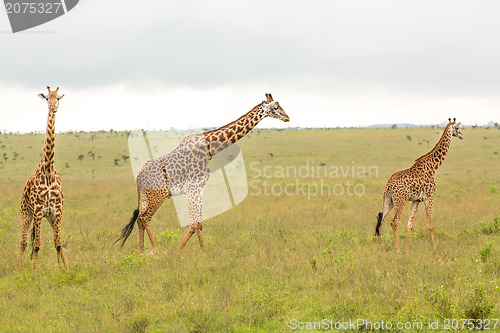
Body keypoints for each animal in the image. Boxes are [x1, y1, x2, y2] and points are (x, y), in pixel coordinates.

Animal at [19, 87, 67, 268]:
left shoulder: (57, 211)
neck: (47, 171)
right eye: (47, 98)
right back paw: (19, 269)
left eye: (58, 98)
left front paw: (62, 269)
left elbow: (58, 243)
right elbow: (37, 245)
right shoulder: (38, 211)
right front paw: (34, 271)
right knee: (24, 242)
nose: (53, 107)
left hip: (50, 218)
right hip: (26, 212)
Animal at [115, 92, 290, 250]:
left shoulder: (199, 188)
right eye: (275, 107)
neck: (209, 148)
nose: (287, 117)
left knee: (140, 218)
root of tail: (139, 177)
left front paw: (202, 251)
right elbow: (194, 223)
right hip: (159, 195)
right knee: (145, 217)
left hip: (146, 196)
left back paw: (141, 250)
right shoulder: (193, 188)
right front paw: (178, 250)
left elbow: (199, 223)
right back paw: (155, 250)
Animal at [376, 118, 464, 250]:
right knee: (394, 222)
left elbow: (410, 224)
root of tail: (389, 184)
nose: (461, 135)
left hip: (388, 200)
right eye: (458, 128)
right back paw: (397, 249)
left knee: (381, 220)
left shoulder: (416, 200)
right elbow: (430, 224)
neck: (432, 167)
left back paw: (378, 247)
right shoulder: (429, 197)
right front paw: (434, 247)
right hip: (400, 200)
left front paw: (406, 248)